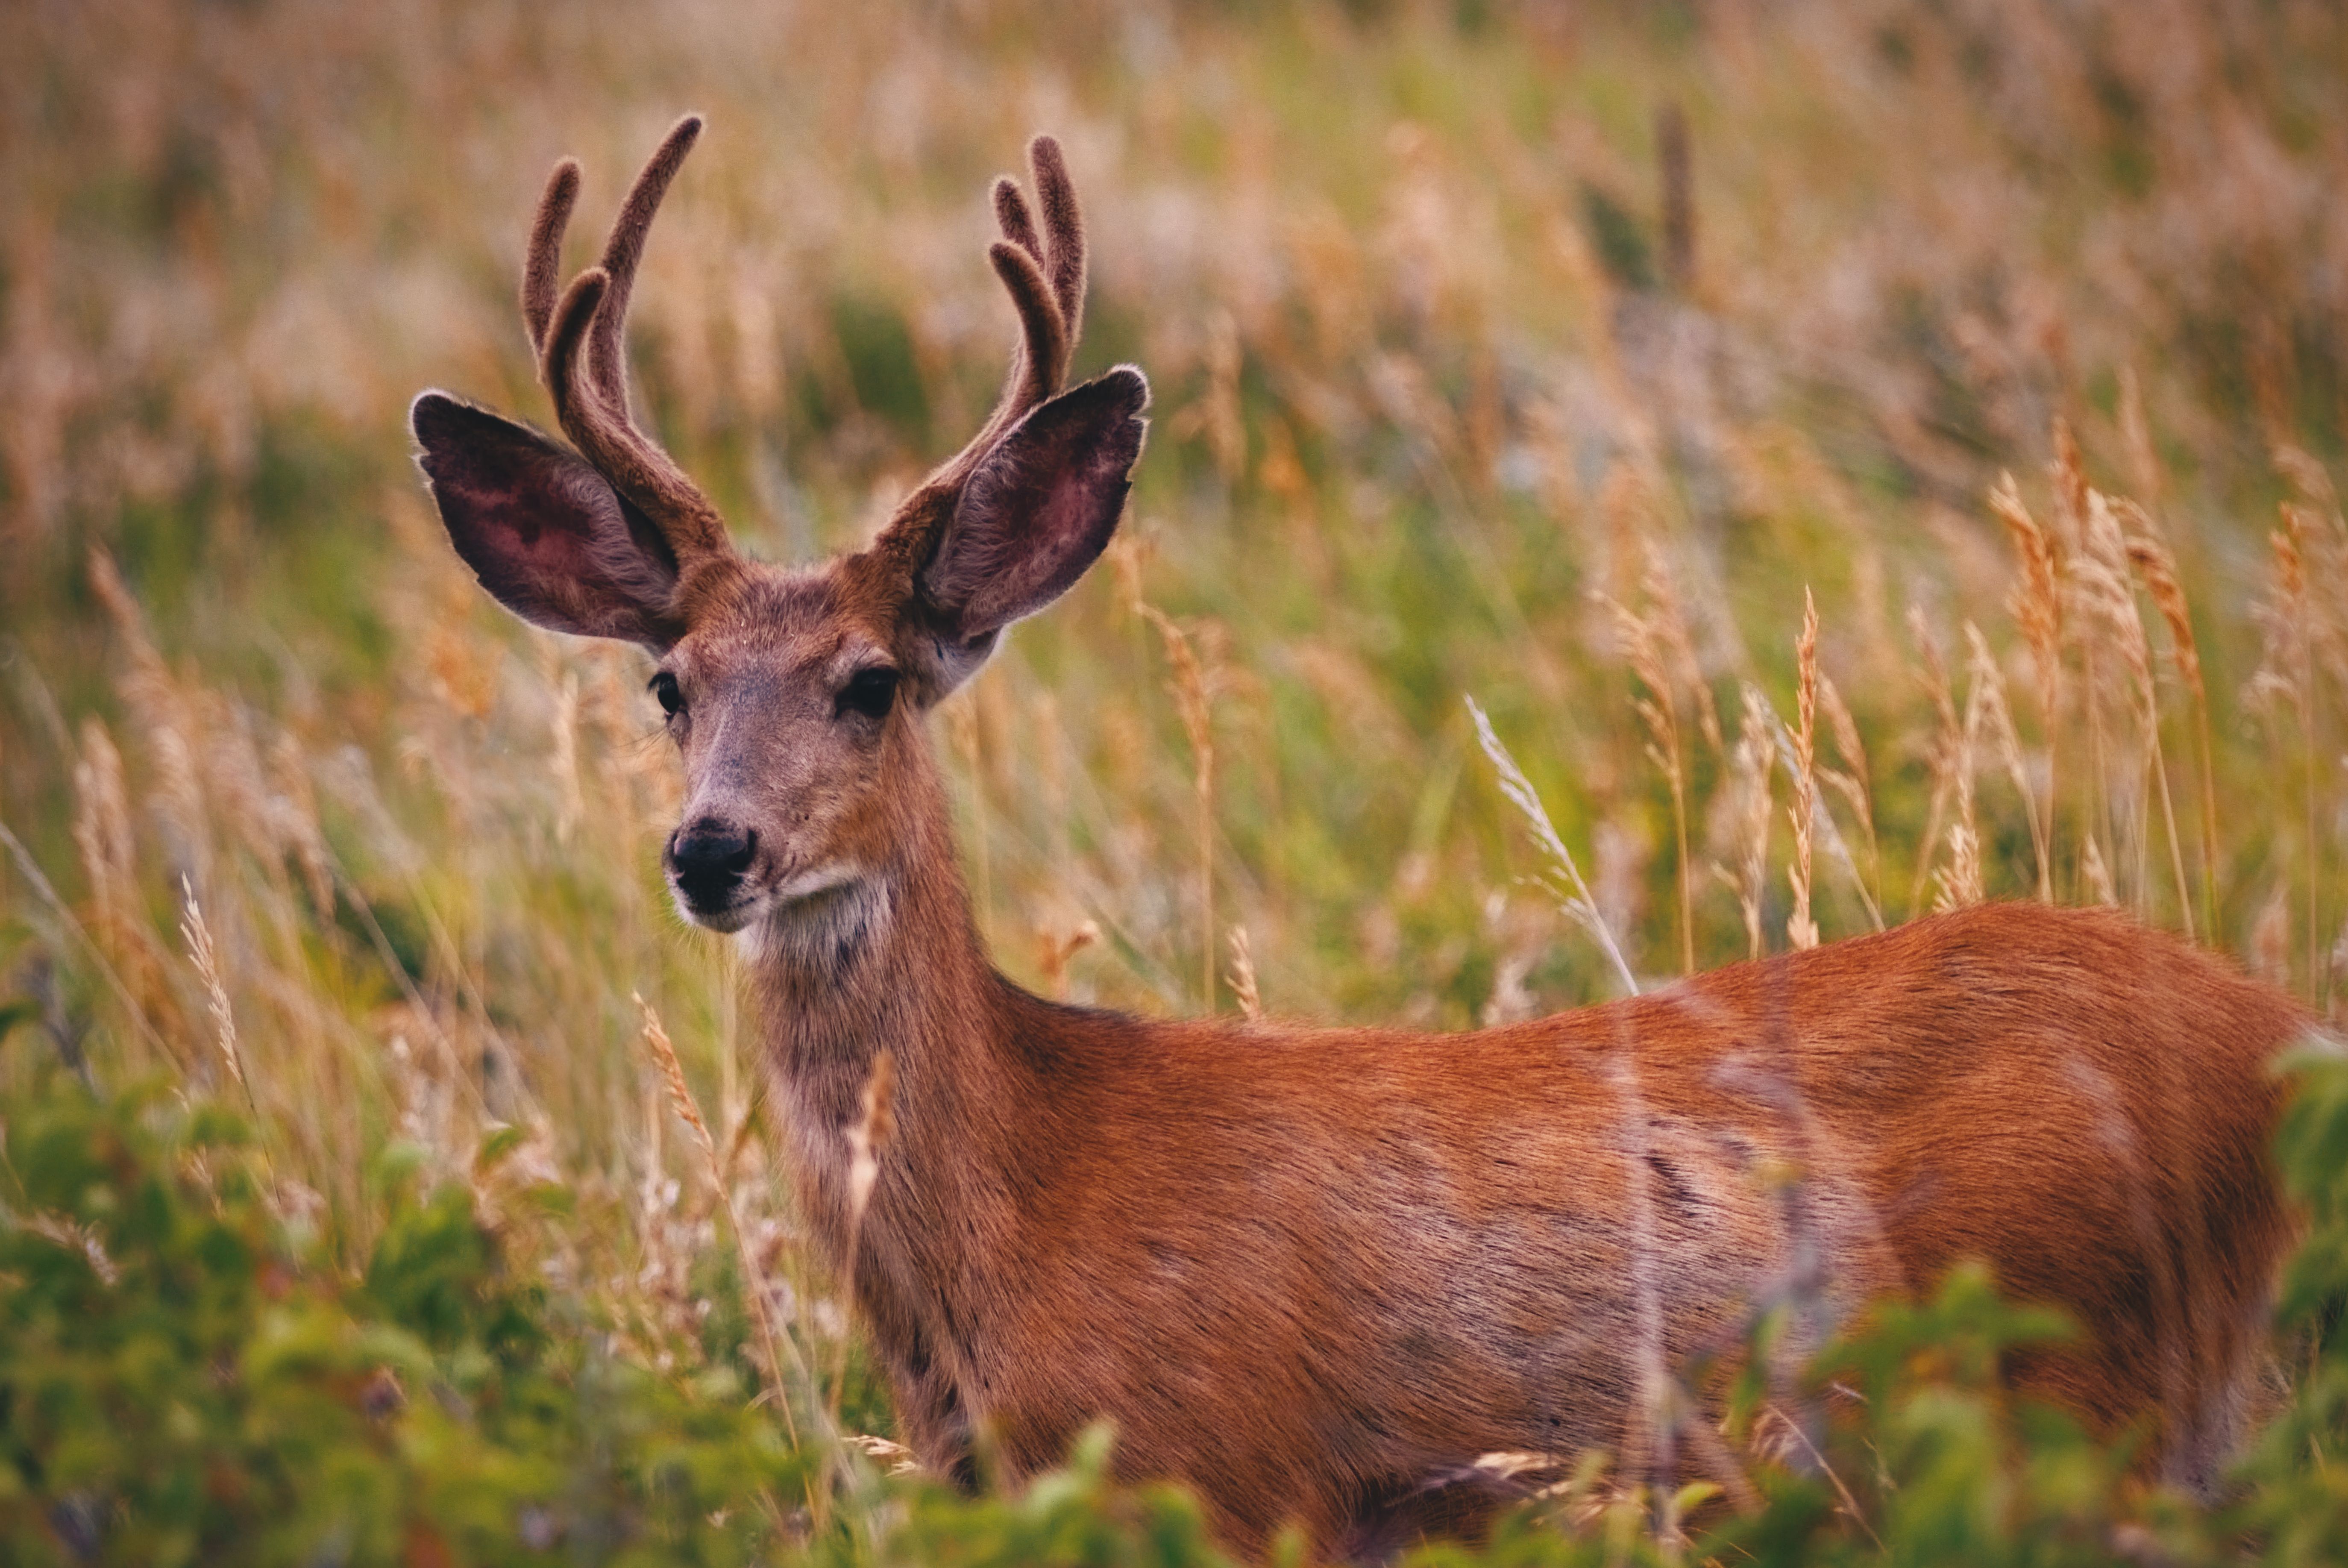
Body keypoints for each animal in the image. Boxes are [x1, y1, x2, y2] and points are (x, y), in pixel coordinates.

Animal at [413, 120, 2301, 1559]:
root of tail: (2281, 1034)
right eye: (668, 683)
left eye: (867, 681)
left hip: (2081, 1382)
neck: (1020, 1217)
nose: (713, 849)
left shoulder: (1240, 1472)